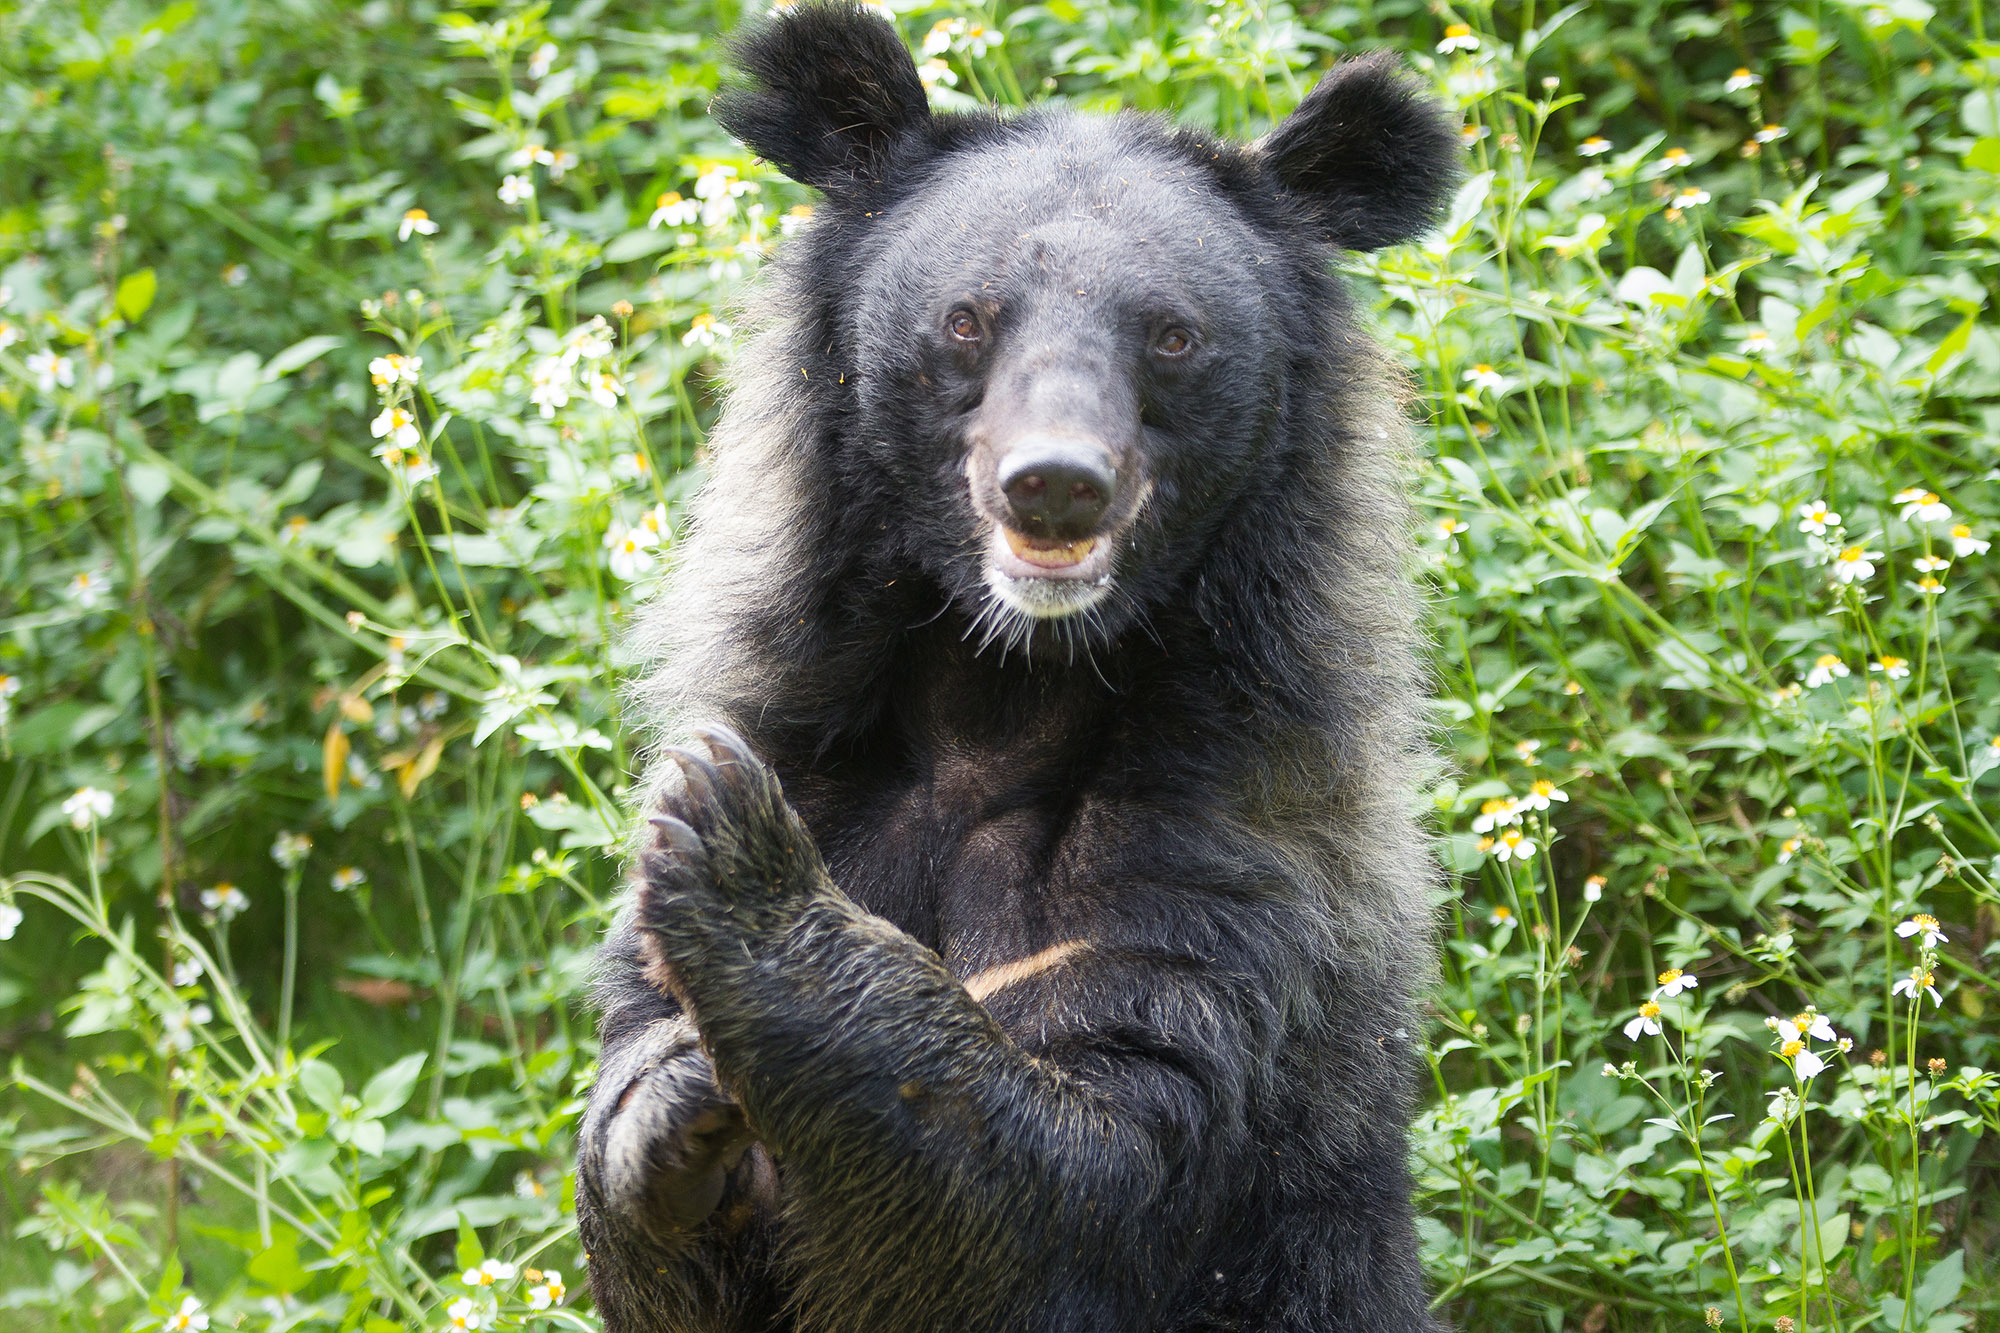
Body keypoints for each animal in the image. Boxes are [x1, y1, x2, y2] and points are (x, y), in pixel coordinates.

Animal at [572, 5, 1464, 1320]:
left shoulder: (1231, 840)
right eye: (966, 319)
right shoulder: (811, 727)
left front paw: (730, 845)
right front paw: (673, 1085)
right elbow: (650, 1229)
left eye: (1171, 336)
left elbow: (1080, 1166)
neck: (1007, 682)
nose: (1053, 484)